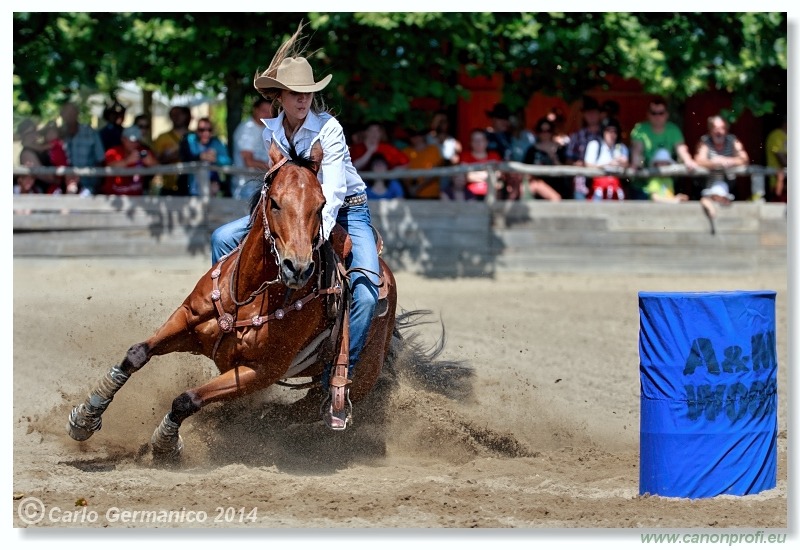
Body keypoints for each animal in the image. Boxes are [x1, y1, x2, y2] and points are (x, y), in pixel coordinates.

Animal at [67, 141, 398, 462]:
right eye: (275, 202)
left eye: (320, 205)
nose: (298, 267)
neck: (248, 295)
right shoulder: (185, 320)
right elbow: (137, 354)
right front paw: (86, 416)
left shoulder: (261, 371)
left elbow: (187, 398)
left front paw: (165, 444)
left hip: (349, 381)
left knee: (289, 413)